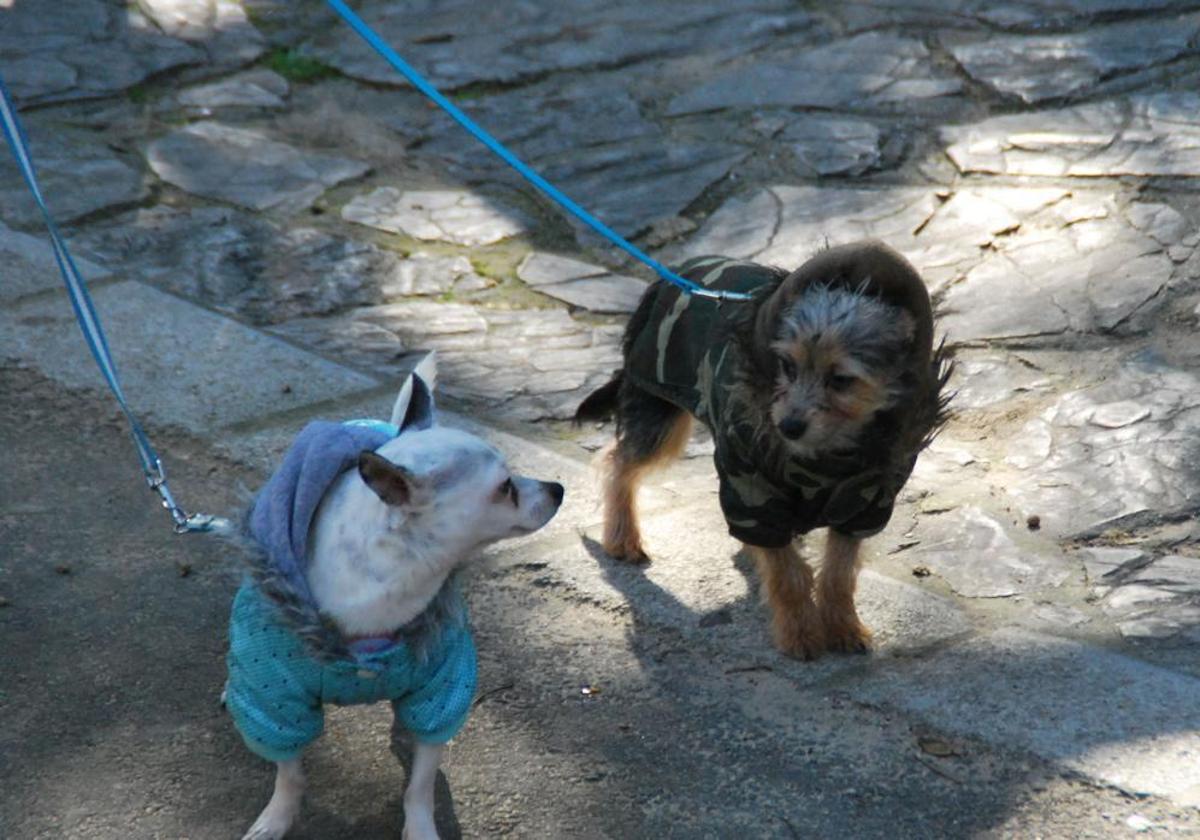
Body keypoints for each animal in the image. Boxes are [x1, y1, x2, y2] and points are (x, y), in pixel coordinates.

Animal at [576, 240, 950, 657]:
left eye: (841, 380)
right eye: (785, 365)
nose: (787, 426)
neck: (827, 458)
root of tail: (673, 275)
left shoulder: (865, 503)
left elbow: (839, 572)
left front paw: (843, 628)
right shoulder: (754, 494)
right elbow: (788, 573)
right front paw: (800, 634)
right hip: (662, 412)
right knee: (617, 460)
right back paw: (621, 536)